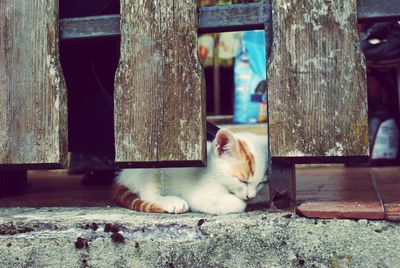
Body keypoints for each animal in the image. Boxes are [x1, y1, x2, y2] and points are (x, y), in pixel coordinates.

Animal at [112, 129, 268, 215]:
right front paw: (241, 202)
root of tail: (122, 174)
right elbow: (236, 203)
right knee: (148, 194)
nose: (250, 196)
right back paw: (172, 201)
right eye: (242, 181)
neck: (213, 173)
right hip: (151, 169)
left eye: (262, 182)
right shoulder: (198, 196)